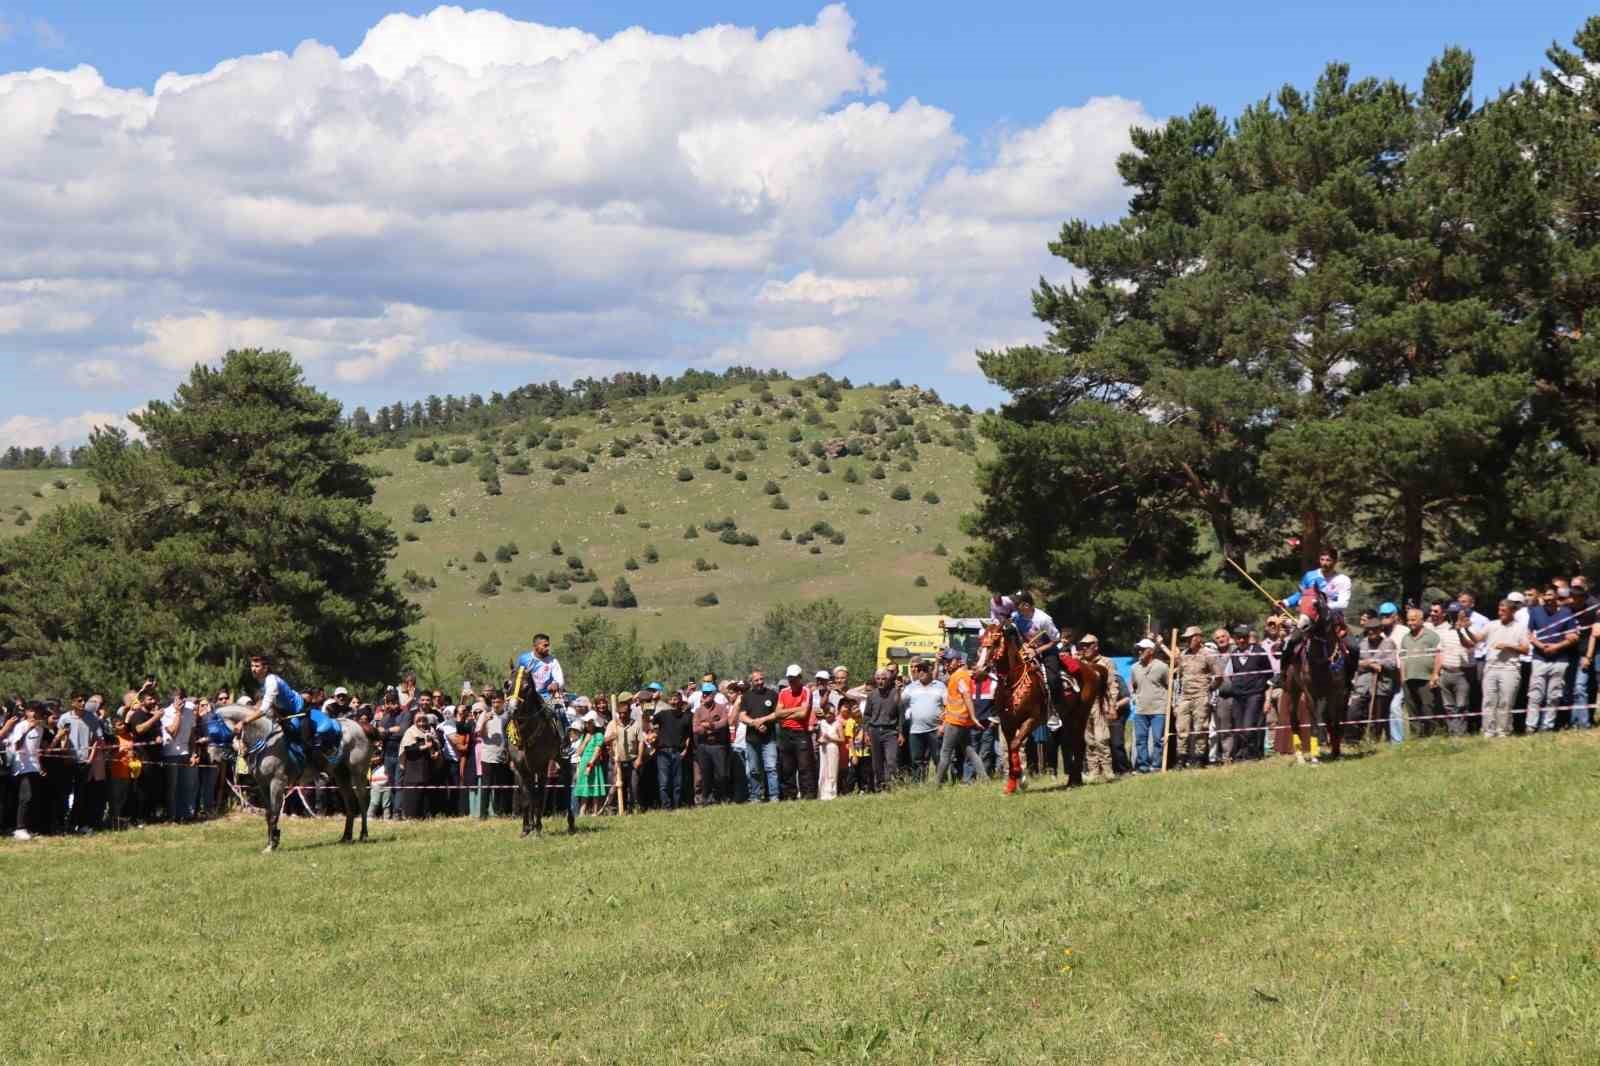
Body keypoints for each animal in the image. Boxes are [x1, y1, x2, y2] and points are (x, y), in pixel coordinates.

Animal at [217, 701, 369, 851]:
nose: (219, 757)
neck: (265, 740)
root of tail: (360, 727)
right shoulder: (263, 785)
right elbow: (269, 813)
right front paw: (272, 841)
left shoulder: (277, 782)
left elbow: (274, 813)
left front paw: (272, 844)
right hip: (341, 774)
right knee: (350, 804)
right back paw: (346, 837)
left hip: (358, 774)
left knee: (362, 801)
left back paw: (363, 835)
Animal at [505, 669, 576, 832]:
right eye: (507, 684)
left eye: (526, 687)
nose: (512, 709)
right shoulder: (520, 768)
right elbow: (526, 797)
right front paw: (526, 828)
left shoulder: (542, 766)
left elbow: (540, 795)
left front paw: (537, 827)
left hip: (561, 759)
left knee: (567, 785)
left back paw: (570, 823)